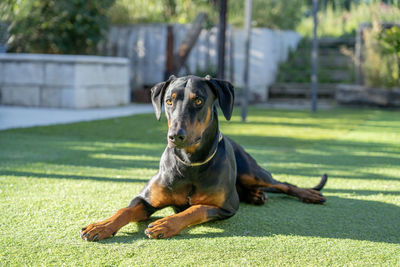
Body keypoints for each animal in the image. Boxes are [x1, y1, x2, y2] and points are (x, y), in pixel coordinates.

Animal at [79, 74, 326, 242]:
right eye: (169, 101)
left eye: (198, 101)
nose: (175, 136)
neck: (190, 163)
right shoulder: (146, 199)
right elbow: (125, 210)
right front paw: (101, 226)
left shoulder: (225, 207)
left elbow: (196, 208)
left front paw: (164, 224)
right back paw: (256, 196)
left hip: (252, 171)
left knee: (283, 183)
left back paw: (308, 194)